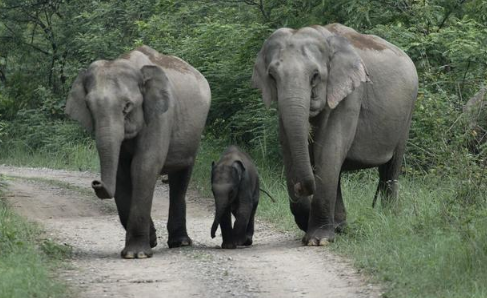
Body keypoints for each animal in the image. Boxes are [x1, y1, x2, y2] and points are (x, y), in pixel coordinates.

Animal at [64, 44, 210, 258]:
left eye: (127, 106)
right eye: (90, 108)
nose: (96, 182)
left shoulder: (160, 116)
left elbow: (143, 166)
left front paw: (137, 254)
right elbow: (122, 173)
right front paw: (150, 240)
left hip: (192, 136)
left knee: (181, 177)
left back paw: (180, 243)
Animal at [254, 23, 418, 246]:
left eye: (315, 75)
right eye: (272, 76)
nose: (300, 188)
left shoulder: (351, 94)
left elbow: (329, 149)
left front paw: (318, 240)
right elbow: (288, 148)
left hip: (406, 115)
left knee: (390, 168)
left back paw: (388, 217)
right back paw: (340, 227)